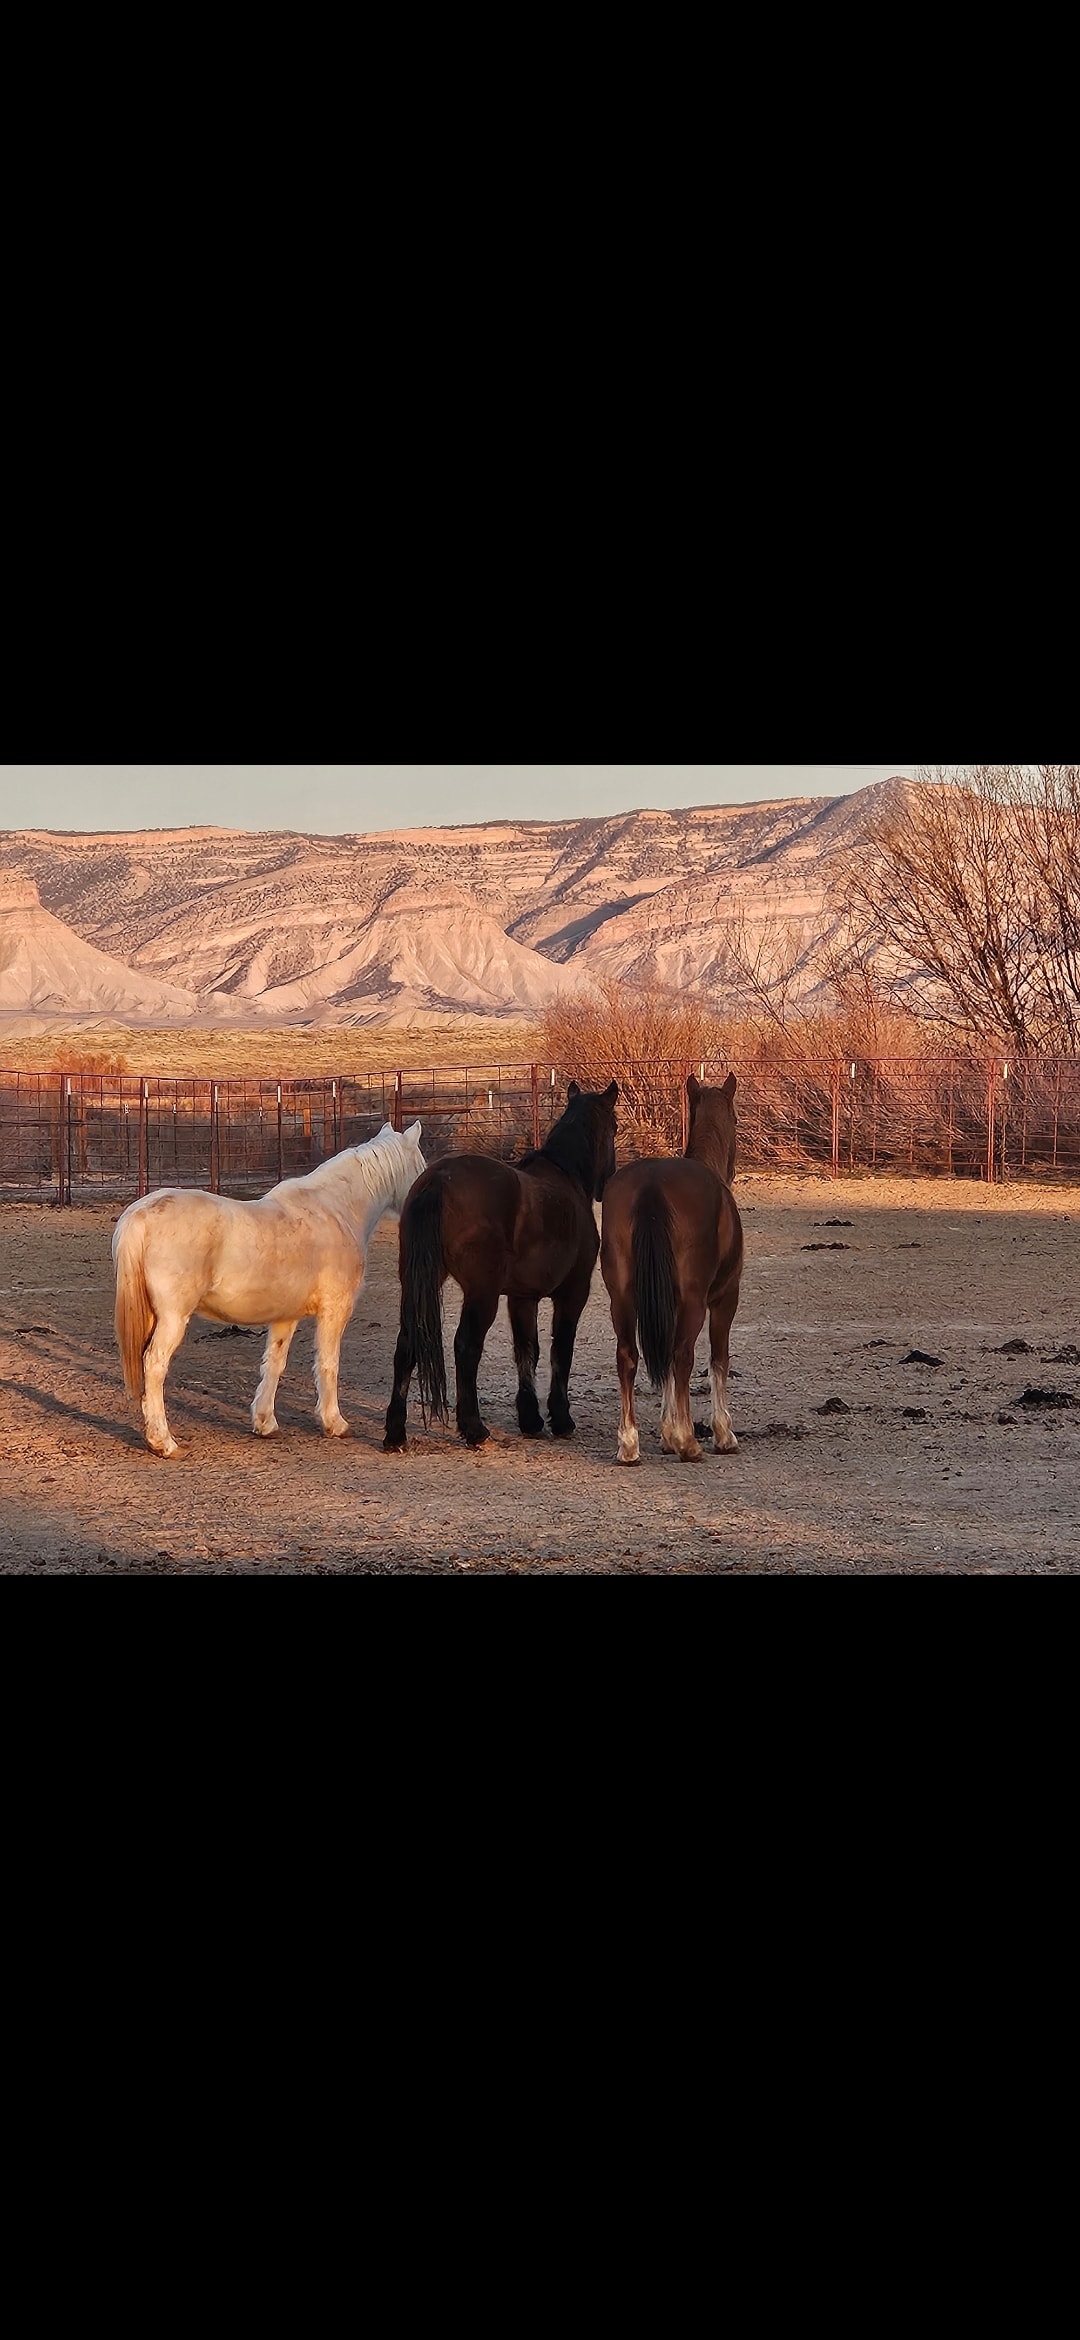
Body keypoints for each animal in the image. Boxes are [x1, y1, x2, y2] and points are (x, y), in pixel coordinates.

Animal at [112, 1120, 427, 1456]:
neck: (336, 1210)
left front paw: (265, 1423)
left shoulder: (285, 1317)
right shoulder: (335, 1310)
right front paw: (334, 1423)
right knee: (154, 1366)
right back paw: (164, 1442)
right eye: (421, 1168)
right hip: (172, 1318)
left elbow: (274, 1364)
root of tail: (141, 1214)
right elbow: (328, 1363)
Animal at [383, 1080, 618, 1451]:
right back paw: (474, 1428)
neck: (566, 1178)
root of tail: (439, 1180)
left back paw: (395, 1433)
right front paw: (561, 1419)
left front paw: (531, 1419)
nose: (608, 1180)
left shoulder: (522, 1298)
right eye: (615, 1127)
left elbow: (527, 1351)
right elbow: (560, 1350)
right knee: (466, 1346)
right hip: (482, 1294)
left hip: (419, 1283)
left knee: (407, 1343)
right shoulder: (573, 1293)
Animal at [599, 1072, 743, 1464]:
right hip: (694, 1301)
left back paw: (629, 1444)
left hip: (623, 1299)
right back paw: (689, 1442)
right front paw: (720, 1434)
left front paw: (666, 1432)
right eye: (737, 1119)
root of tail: (652, 1183)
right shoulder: (725, 1298)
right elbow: (718, 1360)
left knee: (628, 1356)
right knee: (681, 1356)